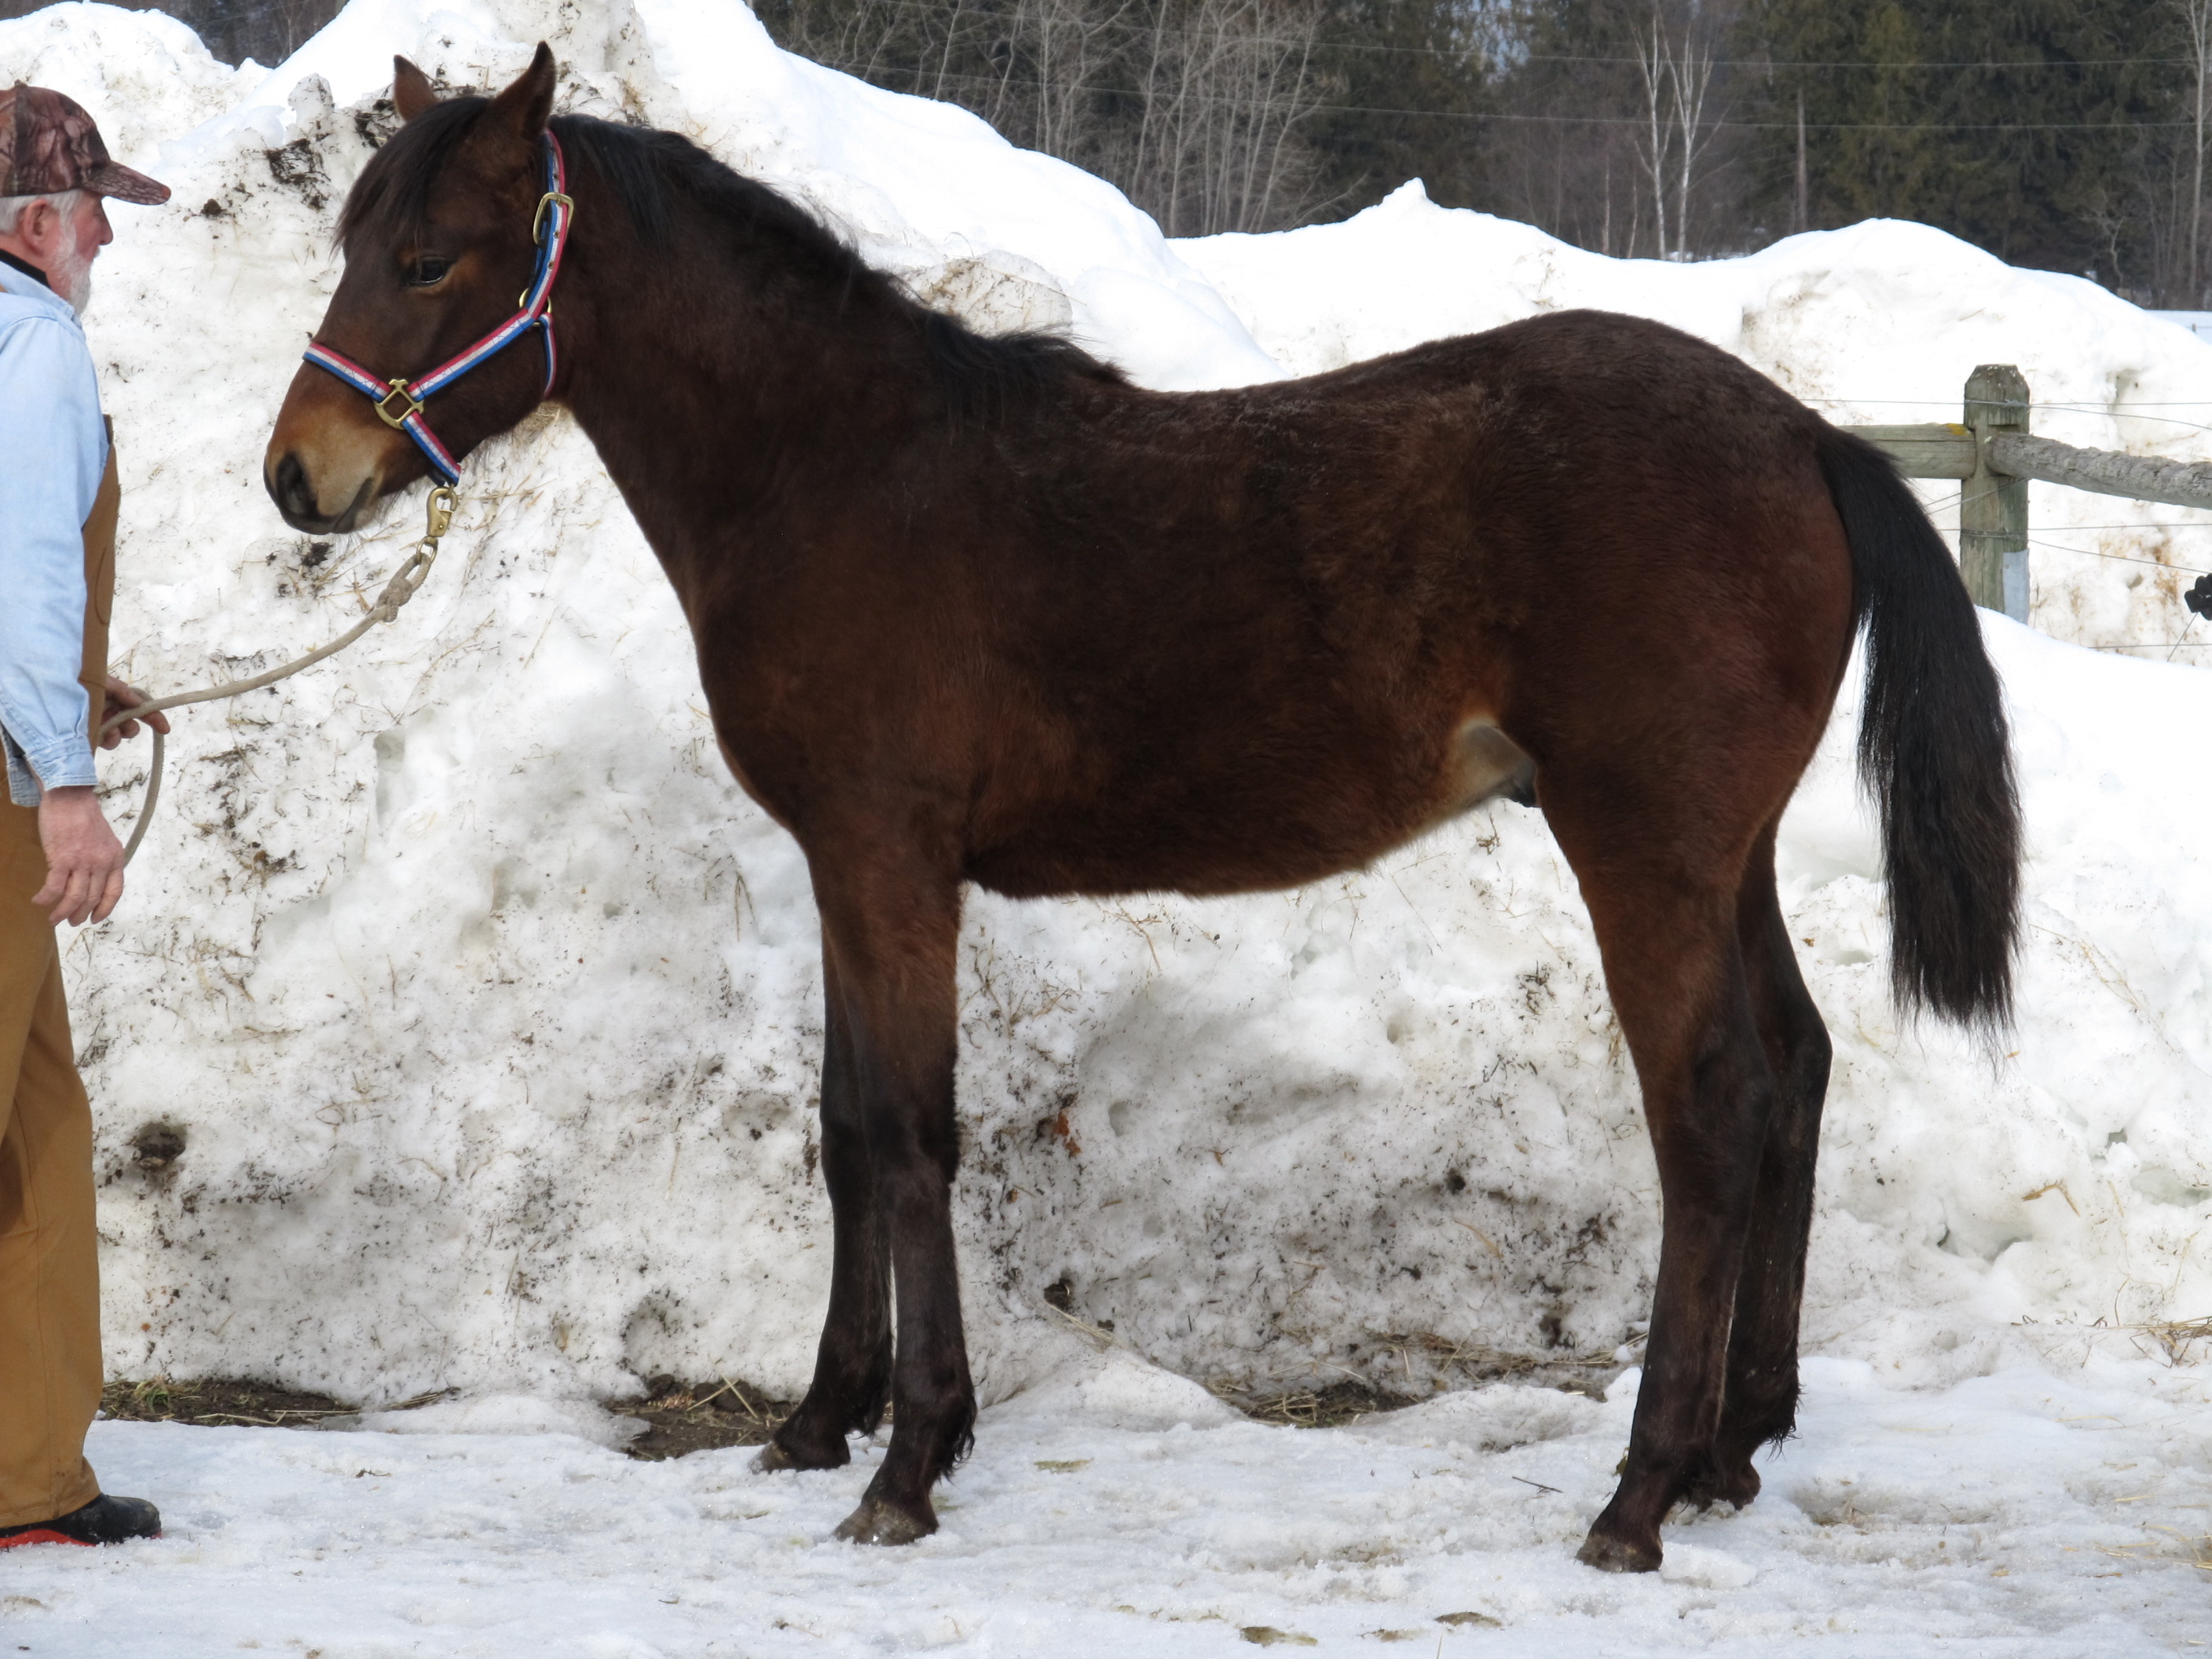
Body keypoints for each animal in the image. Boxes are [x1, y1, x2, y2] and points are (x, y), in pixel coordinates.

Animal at [263, 45, 2019, 1570]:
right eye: (350, 242)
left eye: (426, 256)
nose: (299, 476)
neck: (836, 474)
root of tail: (1804, 434)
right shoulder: (843, 864)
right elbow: (845, 1129)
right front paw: (820, 1422)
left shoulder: (893, 863)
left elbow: (910, 1131)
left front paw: (909, 1464)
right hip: (1726, 859)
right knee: (1795, 1070)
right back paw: (1734, 1450)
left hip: (1641, 854)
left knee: (1710, 1114)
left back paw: (1640, 1494)